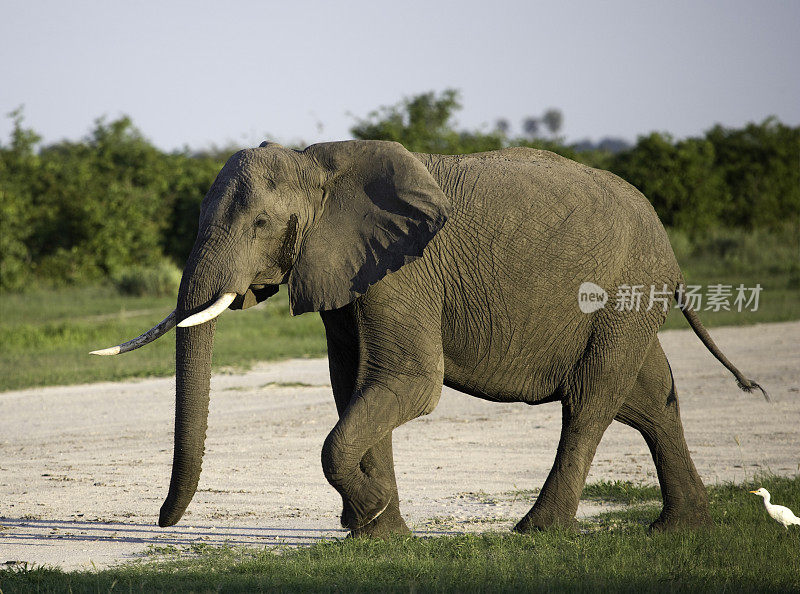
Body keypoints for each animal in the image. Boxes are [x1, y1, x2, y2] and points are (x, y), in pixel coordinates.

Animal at [90, 141, 764, 536]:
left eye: (259, 223)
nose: (162, 523)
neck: (320, 162)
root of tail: (670, 249)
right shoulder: (350, 268)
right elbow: (353, 383)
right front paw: (380, 535)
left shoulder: (404, 271)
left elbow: (406, 382)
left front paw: (373, 519)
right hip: (629, 303)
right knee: (650, 397)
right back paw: (681, 530)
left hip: (623, 293)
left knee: (591, 400)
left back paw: (537, 532)